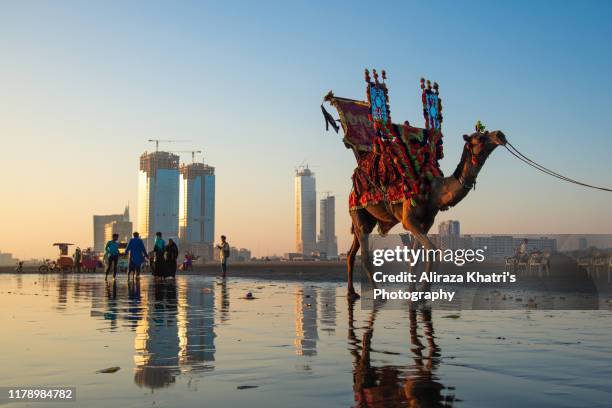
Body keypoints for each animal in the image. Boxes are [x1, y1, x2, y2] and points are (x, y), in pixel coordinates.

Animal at [346, 129, 510, 298]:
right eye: (480, 137)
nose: (500, 134)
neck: (433, 190)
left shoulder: (426, 221)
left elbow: (415, 256)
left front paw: (412, 291)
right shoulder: (408, 220)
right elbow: (432, 250)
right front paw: (423, 291)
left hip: (365, 219)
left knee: (351, 253)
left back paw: (351, 292)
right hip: (359, 213)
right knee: (364, 254)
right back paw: (379, 294)